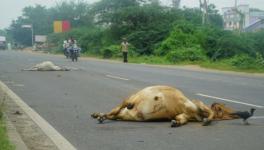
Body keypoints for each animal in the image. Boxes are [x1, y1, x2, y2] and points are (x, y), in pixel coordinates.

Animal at [92, 85, 238, 126]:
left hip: (124, 114)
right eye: (224, 108)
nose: (236, 113)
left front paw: (176, 123)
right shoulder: (195, 105)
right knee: (117, 109)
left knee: (114, 115)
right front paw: (207, 120)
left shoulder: (186, 113)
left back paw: (100, 116)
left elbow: (181, 119)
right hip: (129, 99)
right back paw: (99, 116)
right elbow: (209, 114)